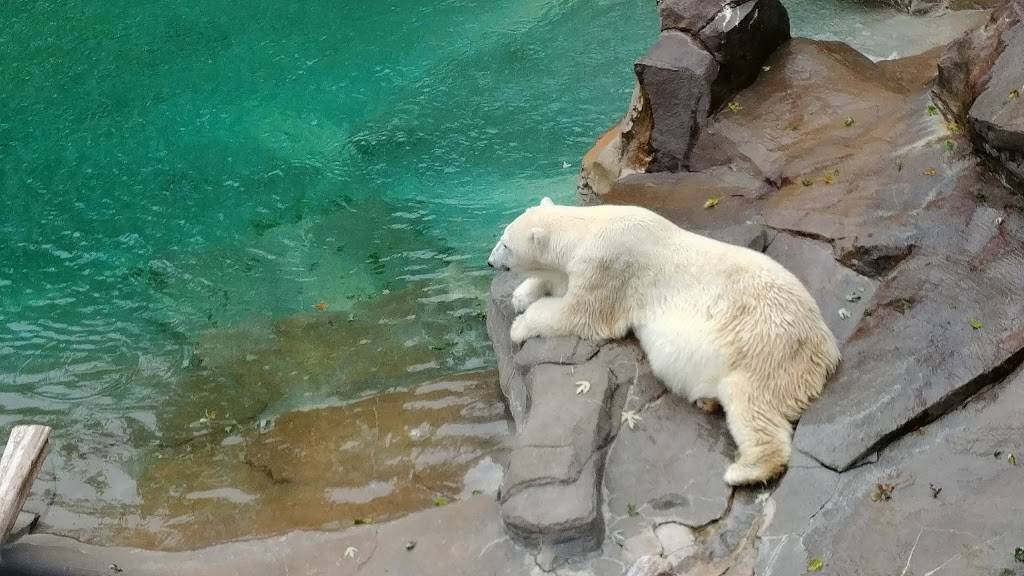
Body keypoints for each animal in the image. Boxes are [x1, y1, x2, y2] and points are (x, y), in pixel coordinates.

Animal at [487, 196, 839, 483]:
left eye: (505, 244)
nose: (489, 262)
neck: (589, 228)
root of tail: (825, 347)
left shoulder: (608, 267)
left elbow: (578, 313)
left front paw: (520, 324)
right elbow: (556, 283)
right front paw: (521, 295)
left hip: (762, 347)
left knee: (751, 405)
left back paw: (744, 470)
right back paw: (708, 402)